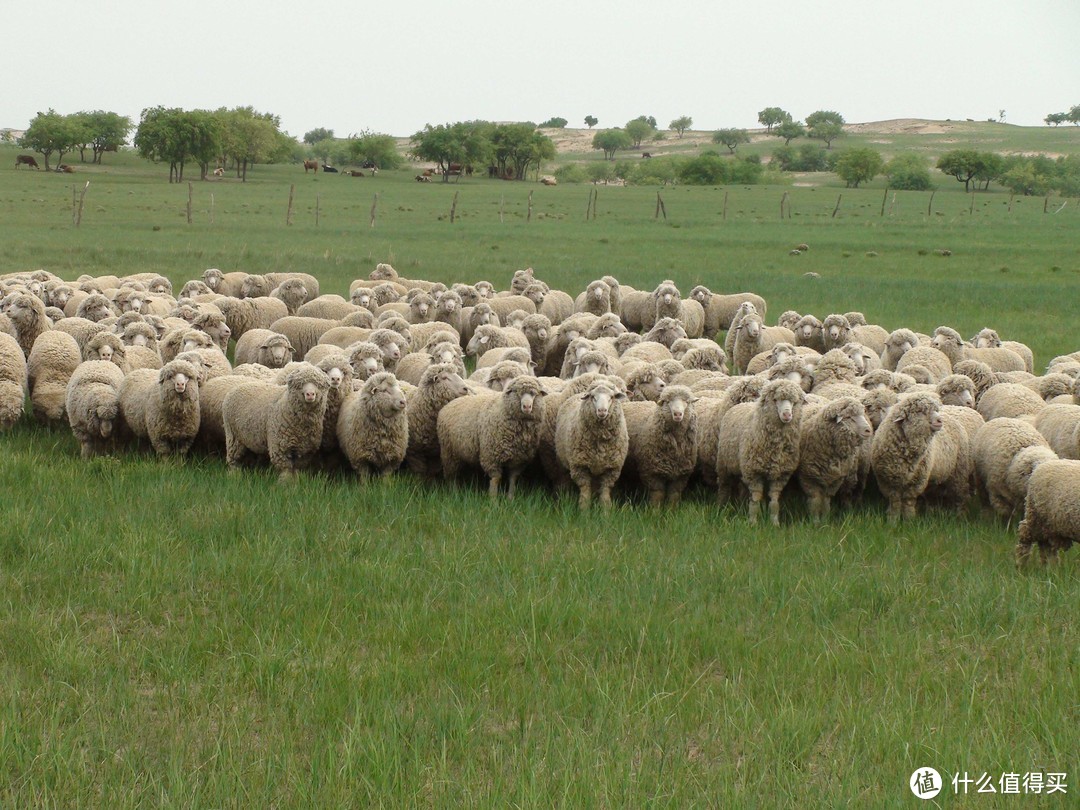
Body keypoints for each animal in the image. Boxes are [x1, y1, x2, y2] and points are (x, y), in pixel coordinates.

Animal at [712, 378, 807, 522]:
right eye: (775, 399)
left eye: (794, 402)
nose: (787, 414)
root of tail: (743, 403)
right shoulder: (753, 472)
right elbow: (756, 499)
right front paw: (753, 522)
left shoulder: (780, 475)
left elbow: (774, 501)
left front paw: (774, 522)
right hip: (724, 465)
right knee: (724, 487)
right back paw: (720, 507)